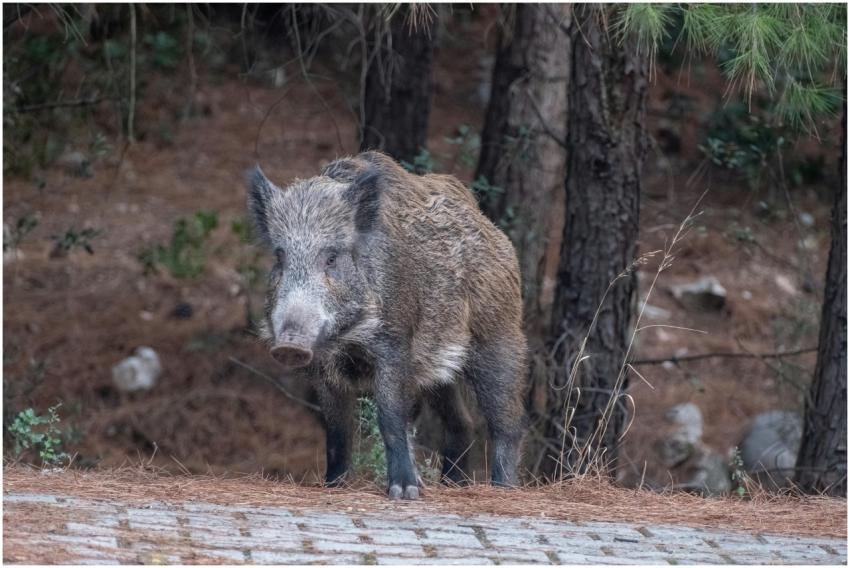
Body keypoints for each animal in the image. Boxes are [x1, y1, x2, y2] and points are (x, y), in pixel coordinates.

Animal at [247, 151, 526, 500]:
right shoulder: (324, 369)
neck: (347, 338)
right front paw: (334, 486)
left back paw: (503, 488)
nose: (289, 345)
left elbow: (391, 417)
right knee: (462, 422)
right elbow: (337, 429)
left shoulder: (394, 345)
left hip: (499, 334)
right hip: (436, 368)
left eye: (332, 257)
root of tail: (490, 227)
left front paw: (404, 493)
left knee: (507, 420)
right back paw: (451, 485)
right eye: (280, 257)